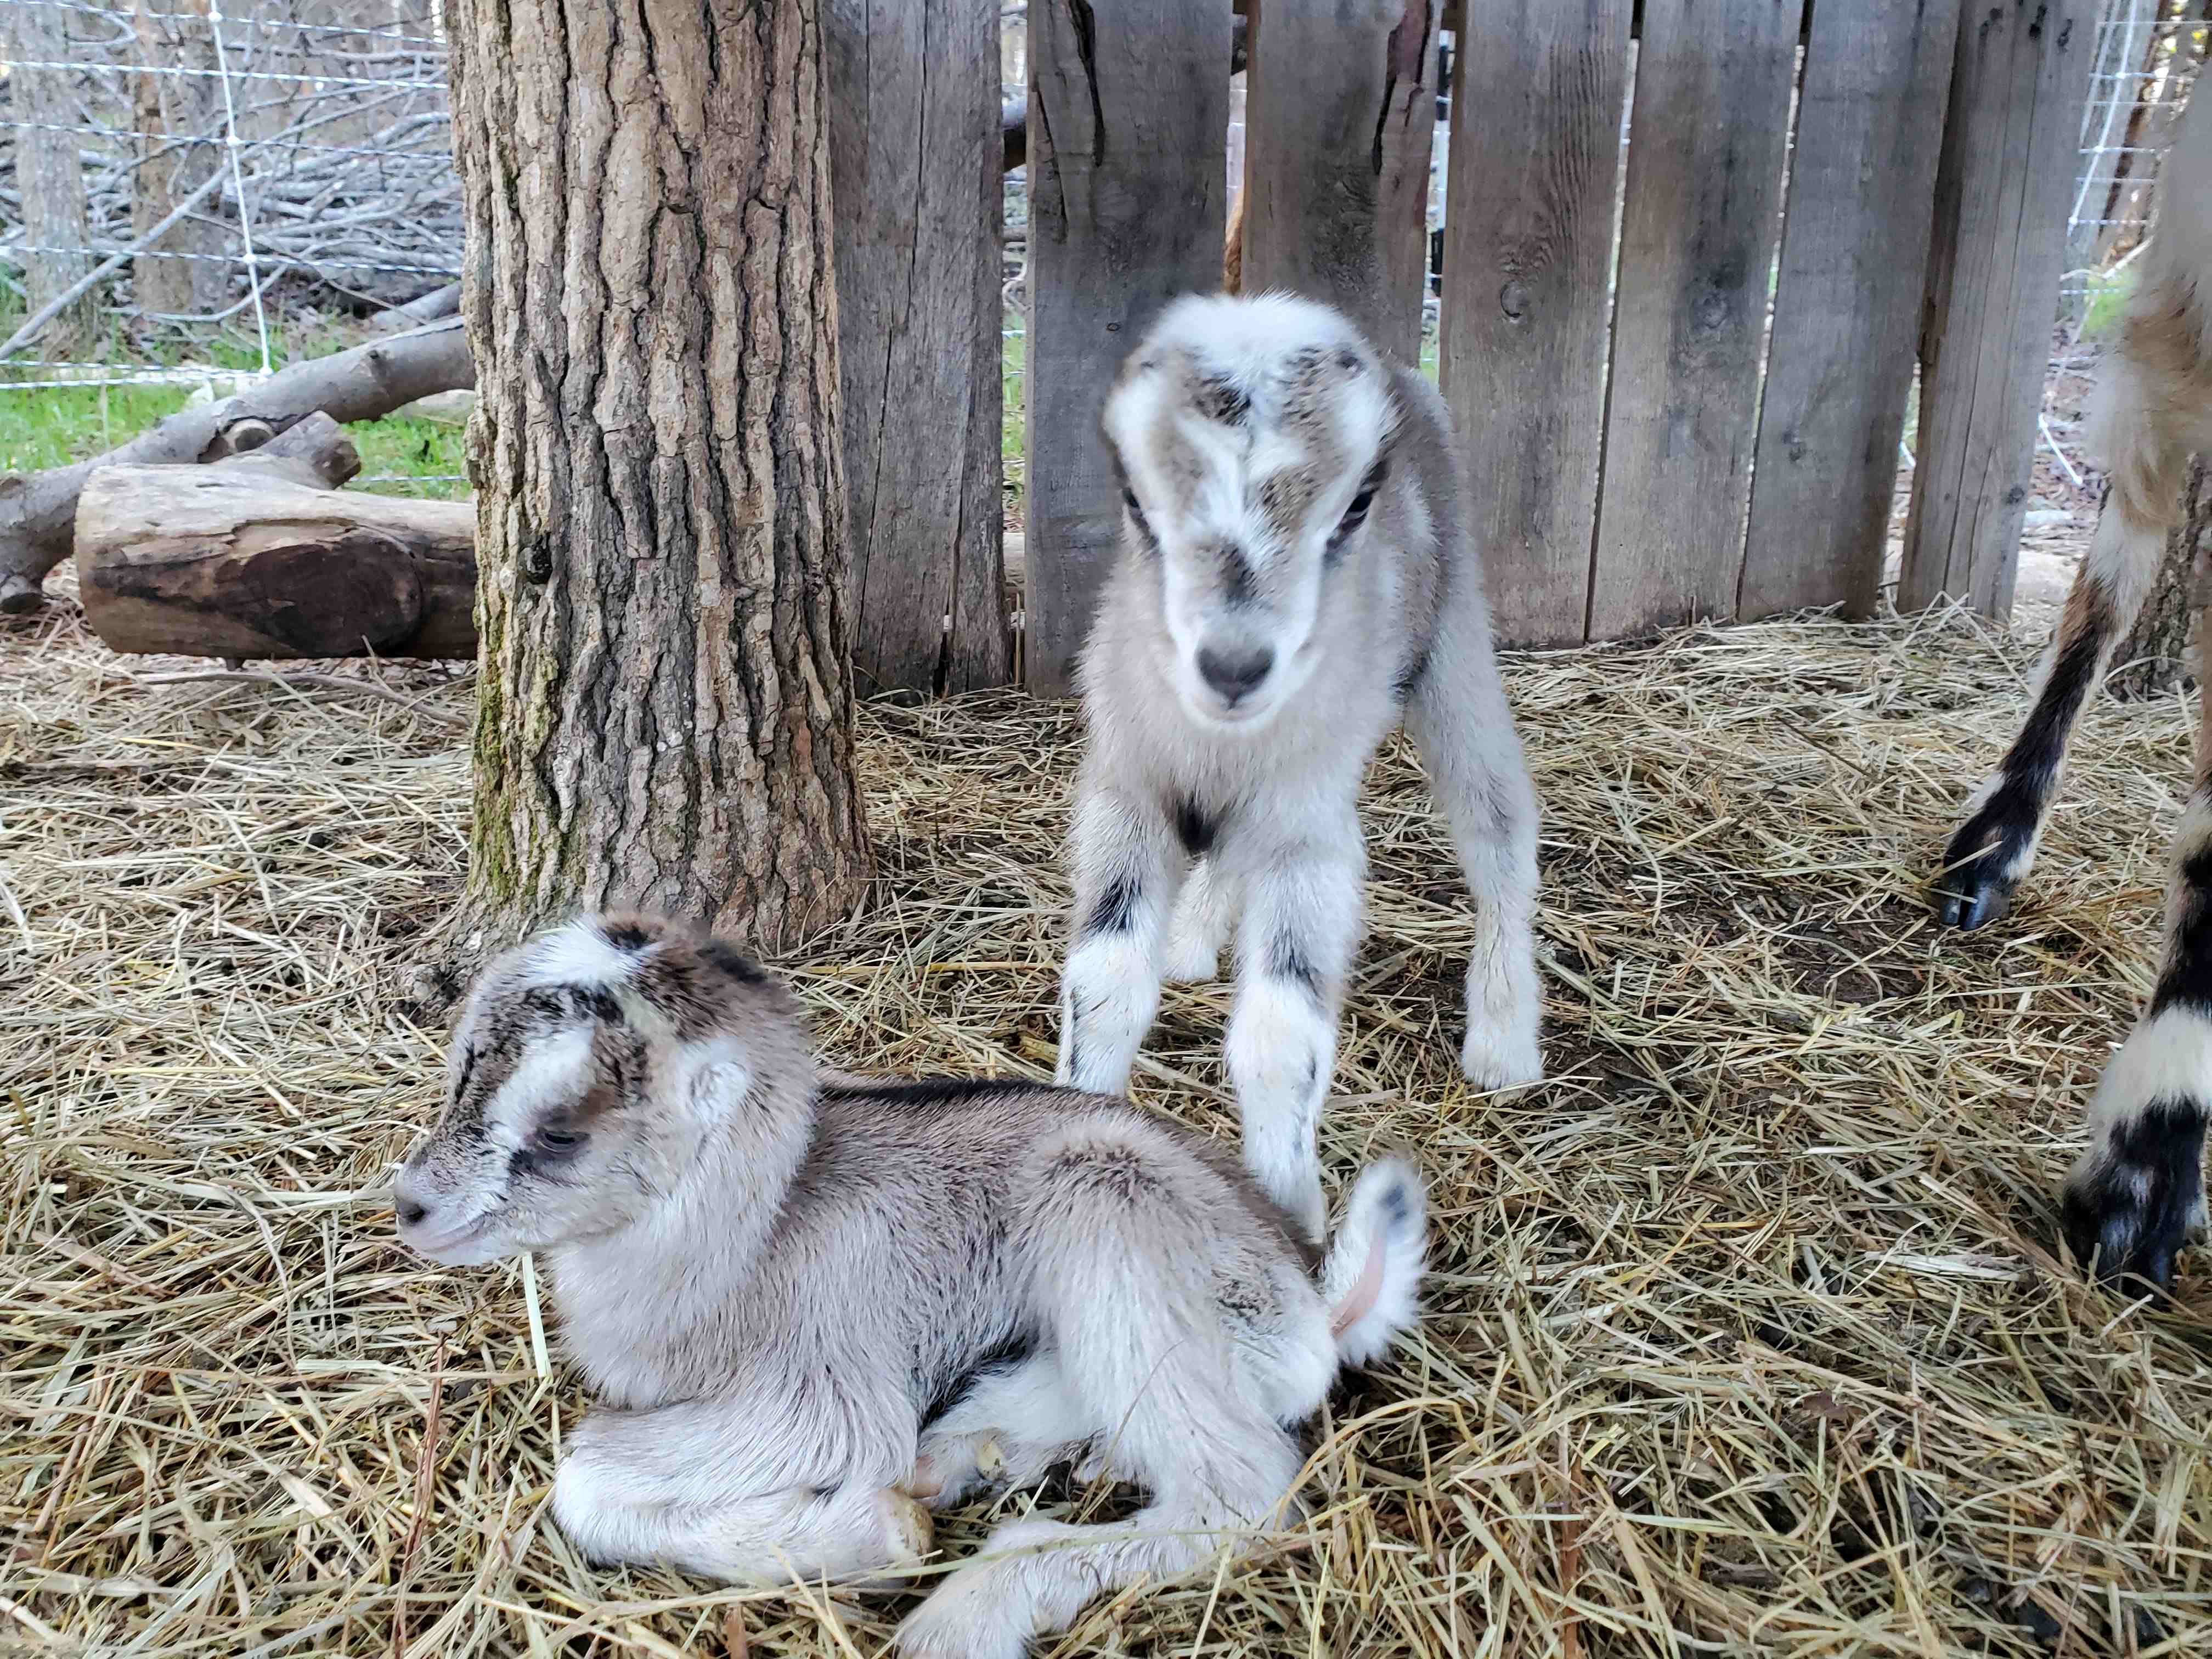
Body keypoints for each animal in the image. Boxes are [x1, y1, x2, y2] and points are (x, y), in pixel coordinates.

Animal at [392, 913, 1428, 1659]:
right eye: (458, 1073)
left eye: (561, 1131)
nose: (410, 1206)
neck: (750, 1241)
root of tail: (1307, 1288)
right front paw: (883, 1518)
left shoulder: (822, 1392)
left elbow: (587, 1473)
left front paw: (879, 1534)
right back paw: (974, 1460)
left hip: (1110, 1199)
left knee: (1240, 1492)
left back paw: (967, 1608)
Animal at [1056, 292, 1542, 1243]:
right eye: (1136, 499)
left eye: (1356, 506)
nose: (1235, 666)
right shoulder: (1126, 792)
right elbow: (1103, 981)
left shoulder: (1309, 832)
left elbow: (1283, 1032)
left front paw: (1289, 1212)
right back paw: (1192, 939)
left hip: (1453, 643)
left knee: (1499, 820)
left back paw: (1504, 1040)